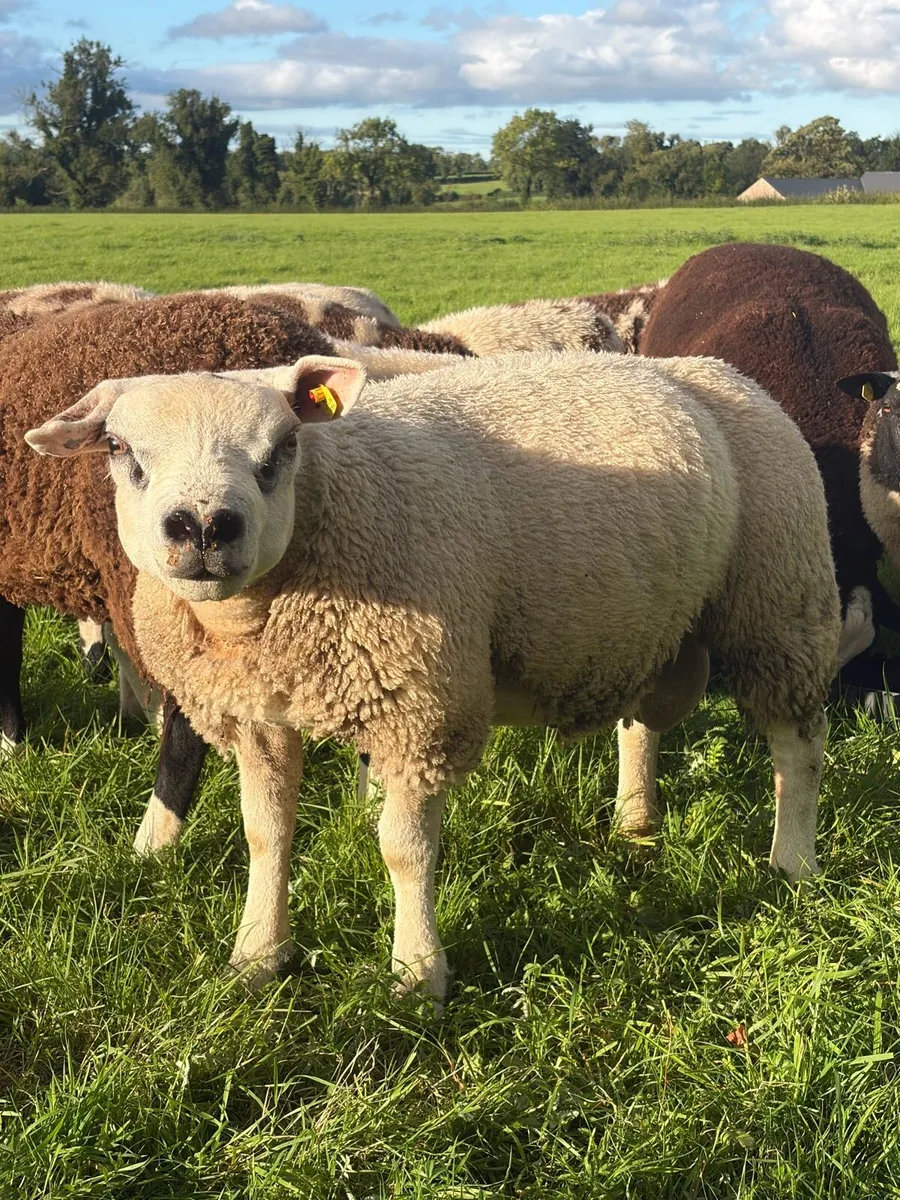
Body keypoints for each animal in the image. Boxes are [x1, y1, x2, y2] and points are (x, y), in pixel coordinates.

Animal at [30, 348, 840, 1000]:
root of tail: (715, 369)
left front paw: (418, 975)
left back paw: (792, 864)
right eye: (119, 448)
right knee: (640, 723)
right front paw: (258, 956)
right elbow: (266, 834)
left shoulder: (419, 710)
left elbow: (405, 851)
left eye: (285, 446)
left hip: (780, 601)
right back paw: (634, 822)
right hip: (648, 622)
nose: (204, 526)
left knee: (797, 747)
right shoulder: (256, 716)